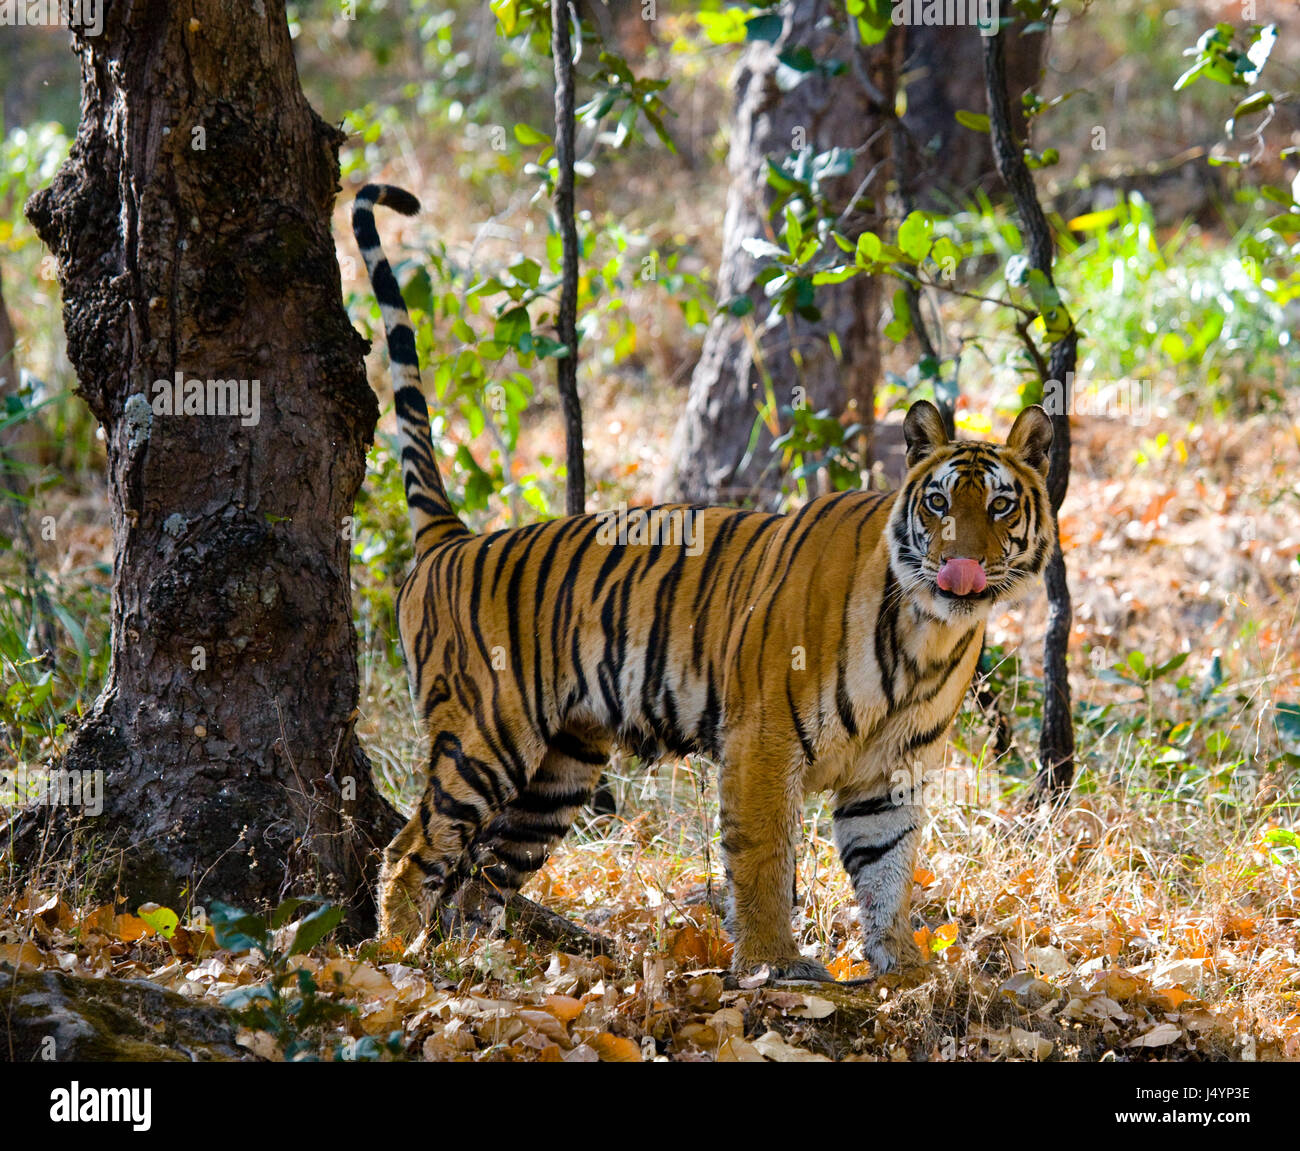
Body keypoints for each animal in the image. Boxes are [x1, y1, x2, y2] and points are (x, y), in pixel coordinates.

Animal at [353, 182, 1055, 978]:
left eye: (999, 505)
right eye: (938, 503)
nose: (960, 564)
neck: (927, 635)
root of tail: (455, 539)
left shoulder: (890, 775)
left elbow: (887, 872)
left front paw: (902, 967)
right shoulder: (762, 739)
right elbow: (764, 858)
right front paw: (776, 964)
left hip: (559, 772)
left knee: (482, 877)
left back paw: (474, 966)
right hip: (485, 735)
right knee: (411, 852)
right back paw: (393, 960)